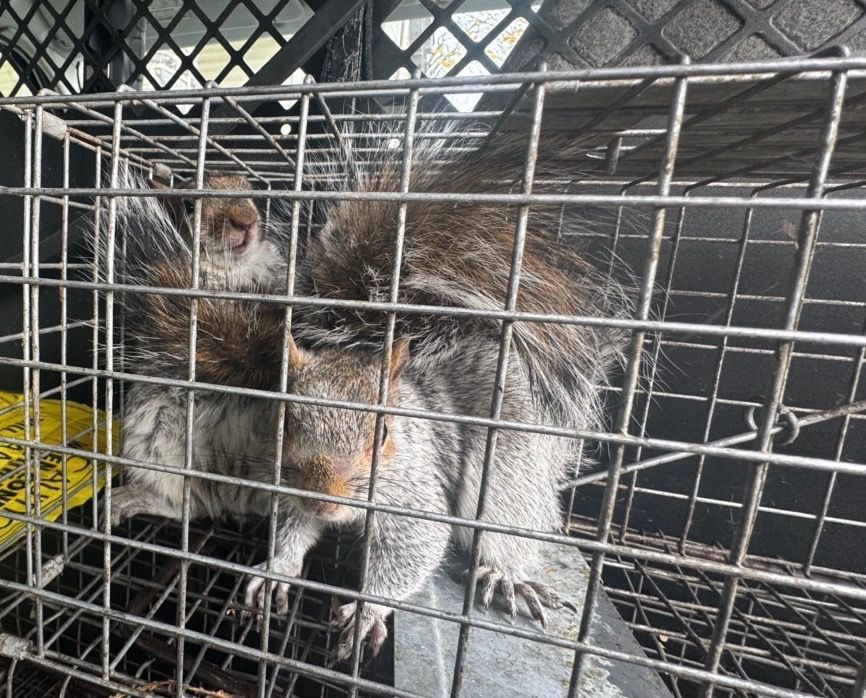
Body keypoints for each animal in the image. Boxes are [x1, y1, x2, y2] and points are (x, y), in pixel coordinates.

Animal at [98, 130, 631, 659]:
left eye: (252, 192)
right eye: (188, 203)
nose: (245, 222)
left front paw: (368, 610)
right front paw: (278, 570)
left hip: (504, 468)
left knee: (505, 512)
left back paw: (504, 574)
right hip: (153, 439)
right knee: (188, 504)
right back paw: (137, 497)